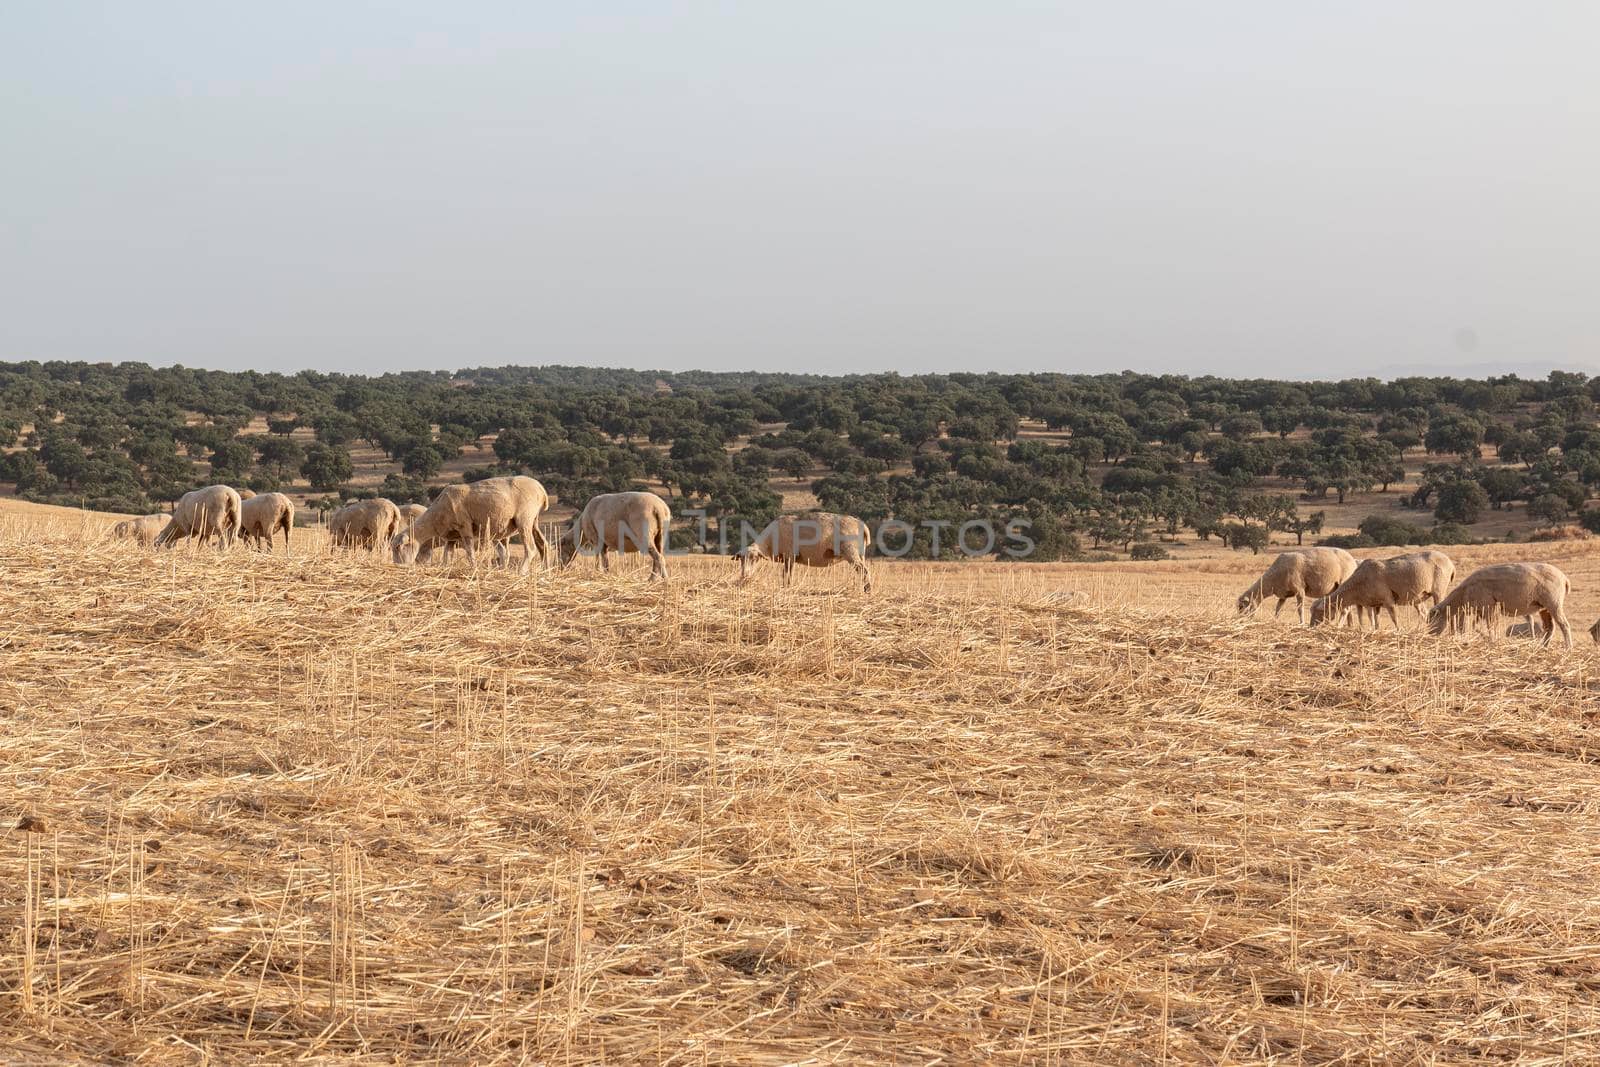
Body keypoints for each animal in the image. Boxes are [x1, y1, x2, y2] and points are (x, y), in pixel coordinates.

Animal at [390, 476, 553, 575]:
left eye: (398, 547)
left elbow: (469, 551)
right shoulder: (452, 537)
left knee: (530, 548)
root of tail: (541, 490)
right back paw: (546, 571)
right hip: (534, 521)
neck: (435, 517)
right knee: (543, 545)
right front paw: (445, 569)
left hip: (524, 518)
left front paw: (474, 568)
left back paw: (521, 571)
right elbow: (447, 555)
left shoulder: (465, 526)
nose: (397, 566)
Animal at [739, 511, 876, 591]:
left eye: (755, 559)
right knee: (862, 570)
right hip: (860, 553)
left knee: (863, 569)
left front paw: (787, 587)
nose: (744, 575)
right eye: (741, 560)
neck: (770, 541)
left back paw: (867, 590)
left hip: (850, 551)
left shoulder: (790, 555)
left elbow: (787, 573)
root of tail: (861, 524)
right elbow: (786, 573)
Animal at [1228, 550, 1356, 627]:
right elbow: (1278, 608)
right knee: (1348, 608)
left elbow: (1300, 609)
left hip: (1344, 582)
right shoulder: (1283, 594)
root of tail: (1353, 561)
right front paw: (1274, 620)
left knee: (1345, 609)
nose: (1240, 620)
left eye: (1241, 607)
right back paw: (1350, 626)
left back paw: (1339, 625)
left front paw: (1301, 622)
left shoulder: (1300, 590)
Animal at [1305, 550, 1459, 633]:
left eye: (1319, 612)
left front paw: (1399, 631)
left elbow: (1394, 617)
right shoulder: (1374, 604)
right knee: (1425, 613)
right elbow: (1376, 620)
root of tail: (1451, 564)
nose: (1311, 627)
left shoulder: (1388, 600)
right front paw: (1374, 630)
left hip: (1439, 589)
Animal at [1427, 563, 1574, 646]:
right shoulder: (1481, 610)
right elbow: (1475, 626)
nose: (1429, 635)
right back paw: (1543, 647)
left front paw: (1491, 639)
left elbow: (1490, 626)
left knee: (1564, 625)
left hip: (1553, 602)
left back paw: (1568, 648)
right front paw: (1487, 637)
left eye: (1431, 620)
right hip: (1543, 606)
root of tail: (1564, 579)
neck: (1462, 595)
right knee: (1550, 627)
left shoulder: (1488, 606)